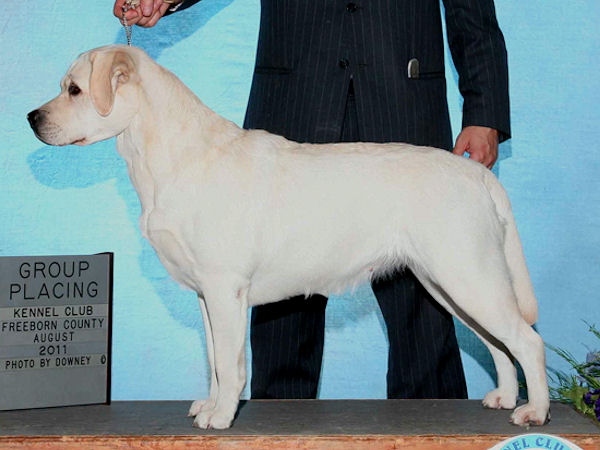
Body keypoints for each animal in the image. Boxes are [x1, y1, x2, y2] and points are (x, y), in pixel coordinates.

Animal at [29, 45, 548, 428]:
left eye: (74, 89)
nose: (32, 118)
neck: (172, 157)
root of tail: (478, 174)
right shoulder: (206, 295)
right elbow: (214, 359)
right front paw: (210, 405)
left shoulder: (225, 289)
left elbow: (232, 363)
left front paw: (221, 417)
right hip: (449, 284)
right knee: (498, 344)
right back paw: (505, 398)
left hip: (468, 275)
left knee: (526, 341)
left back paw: (535, 411)